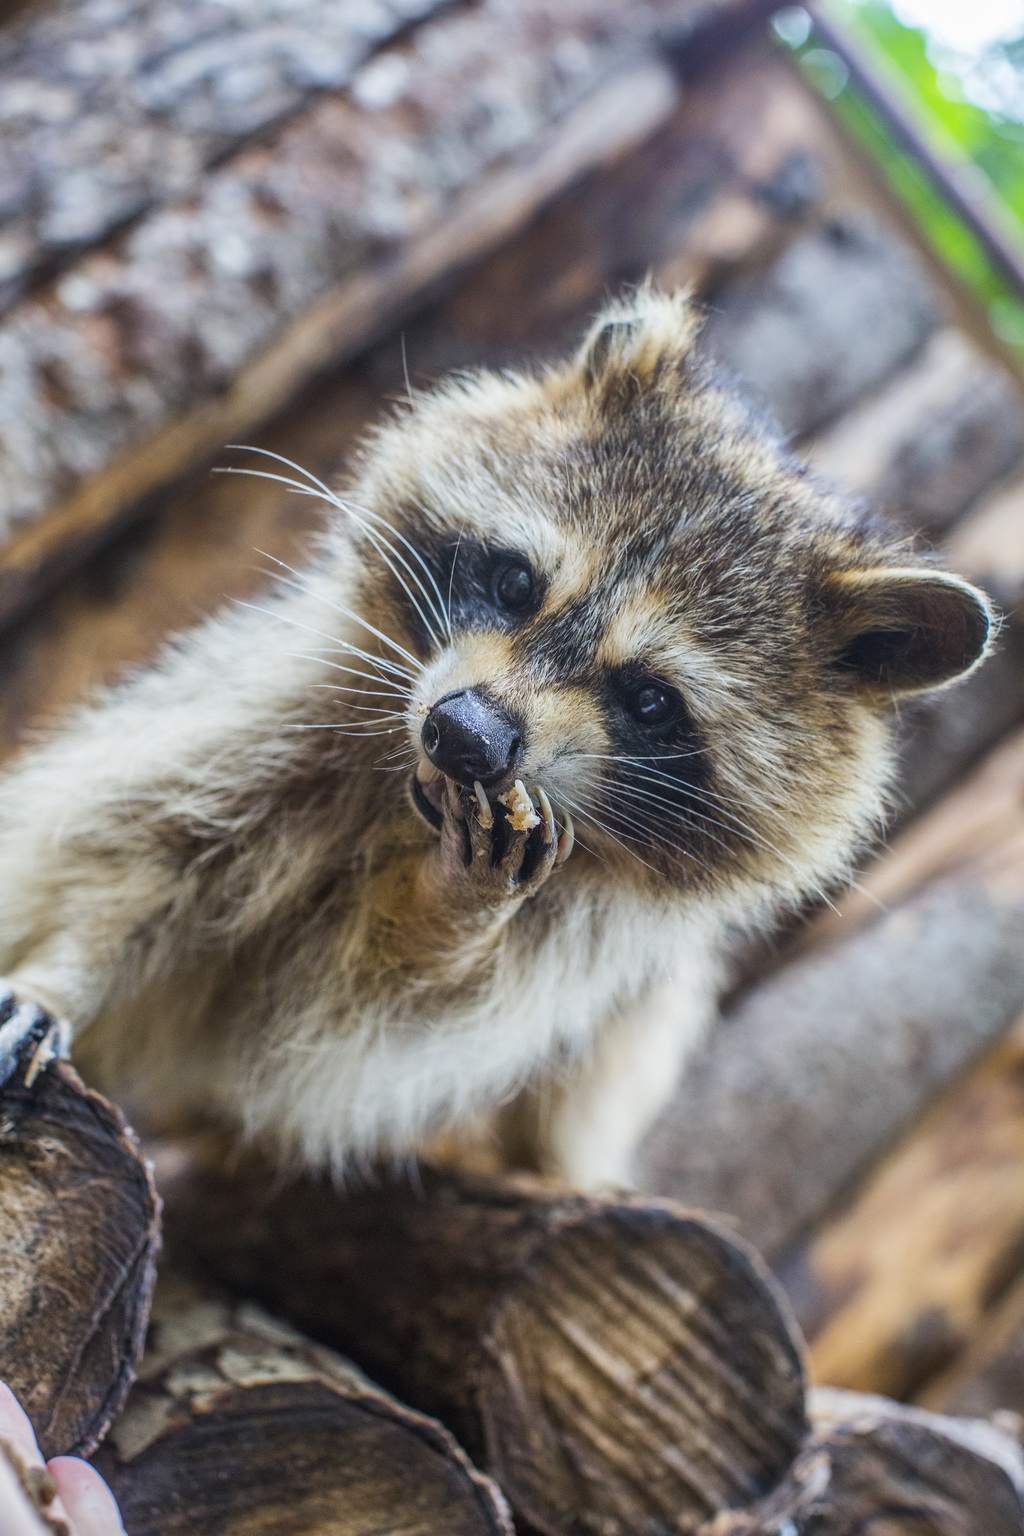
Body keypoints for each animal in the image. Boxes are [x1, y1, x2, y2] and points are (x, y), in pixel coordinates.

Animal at [0, 290, 994, 1185]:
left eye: (650, 701)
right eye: (516, 583)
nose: (463, 737)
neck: (415, 803)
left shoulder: (572, 933)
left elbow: (383, 1017)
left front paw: (451, 903)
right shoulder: (279, 707)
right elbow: (139, 848)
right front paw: (63, 974)